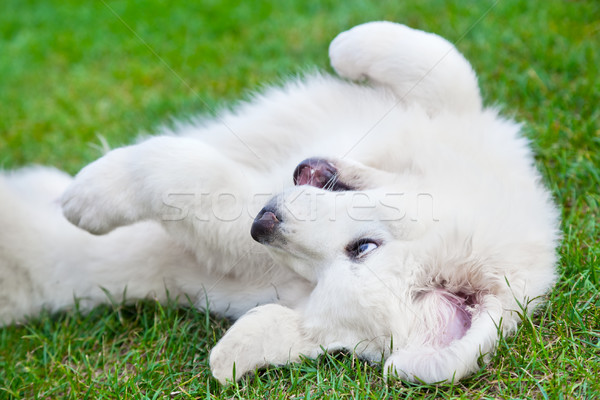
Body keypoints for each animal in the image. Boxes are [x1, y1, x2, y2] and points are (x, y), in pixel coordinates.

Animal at [0, 22, 556, 384]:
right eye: (365, 247)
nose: (265, 223)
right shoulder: (464, 121)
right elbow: (444, 63)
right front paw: (348, 46)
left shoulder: (233, 234)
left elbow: (192, 176)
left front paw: (92, 195)